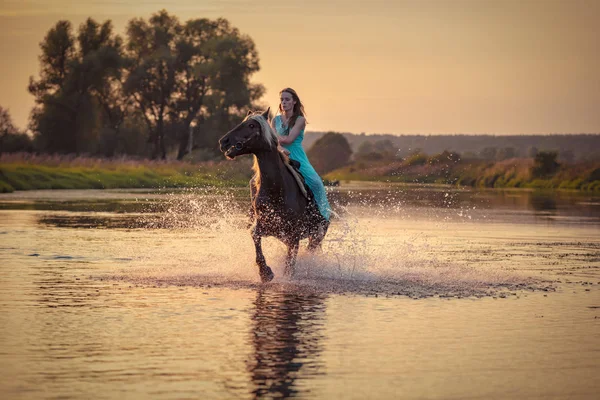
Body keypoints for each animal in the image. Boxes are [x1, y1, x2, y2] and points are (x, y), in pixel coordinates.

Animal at [218, 109, 328, 282]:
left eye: (251, 125)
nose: (224, 141)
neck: (276, 189)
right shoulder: (266, 227)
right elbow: (255, 237)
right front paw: (265, 272)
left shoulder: (294, 235)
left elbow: (290, 265)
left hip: (317, 234)